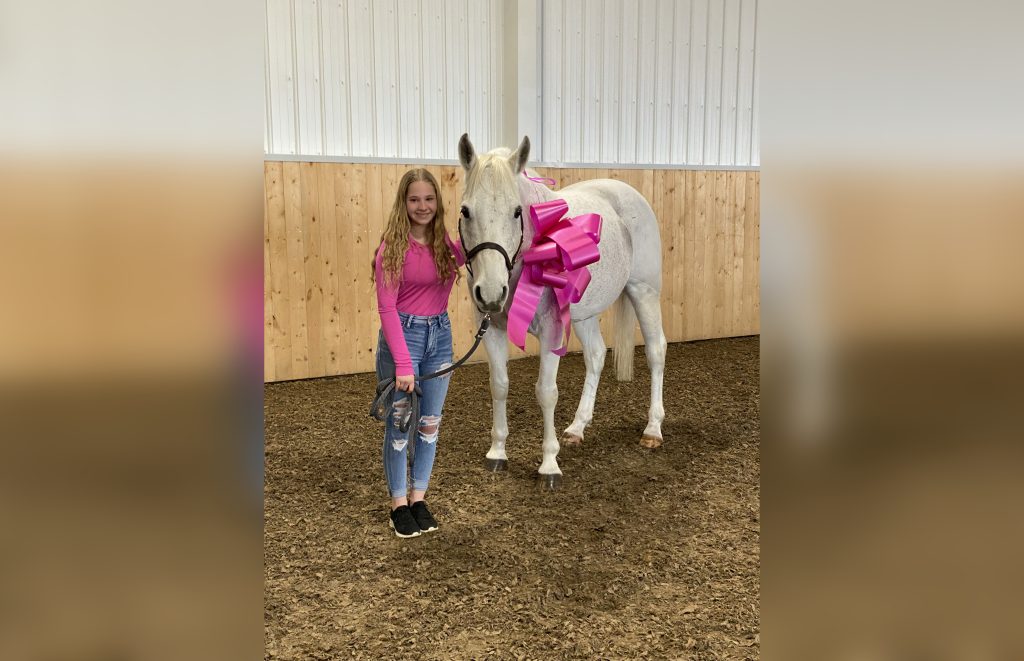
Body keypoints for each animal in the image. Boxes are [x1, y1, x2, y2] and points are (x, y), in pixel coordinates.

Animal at [454, 133, 663, 487]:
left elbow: (546, 392)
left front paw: (549, 464)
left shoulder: (552, 329)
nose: (492, 293)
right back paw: (577, 428)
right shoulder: (492, 327)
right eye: (466, 211)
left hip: (644, 292)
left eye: (516, 212)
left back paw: (653, 430)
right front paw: (497, 452)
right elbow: (499, 385)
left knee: (655, 351)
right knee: (596, 356)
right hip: (584, 313)